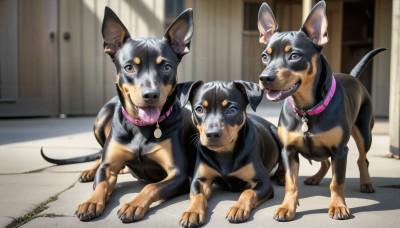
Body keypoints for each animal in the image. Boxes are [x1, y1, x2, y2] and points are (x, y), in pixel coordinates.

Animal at [56, 6, 197, 223]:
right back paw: (90, 170)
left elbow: (151, 186)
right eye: (129, 67)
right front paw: (91, 202)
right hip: (101, 118)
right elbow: (102, 181)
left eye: (166, 67)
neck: (141, 127)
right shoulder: (108, 167)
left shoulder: (179, 174)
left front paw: (133, 204)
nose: (151, 95)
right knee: (100, 156)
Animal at [178, 80, 282, 226]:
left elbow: (248, 192)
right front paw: (192, 211)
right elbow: (197, 195)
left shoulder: (263, 182)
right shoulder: (200, 180)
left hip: (279, 134)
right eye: (199, 109)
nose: (212, 134)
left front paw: (238, 208)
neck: (224, 153)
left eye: (232, 109)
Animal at [258, 0, 386, 221]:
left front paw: (338, 206)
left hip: (364, 134)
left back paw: (366, 182)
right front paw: (287, 207)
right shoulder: (289, 150)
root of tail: (353, 77)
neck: (307, 109)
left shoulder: (340, 151)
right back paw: (316, 178)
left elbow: (338, 182)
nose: (264, 78)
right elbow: (291, 183)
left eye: (294, 56)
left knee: (362, 159)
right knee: (325, 162)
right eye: (265, 56)